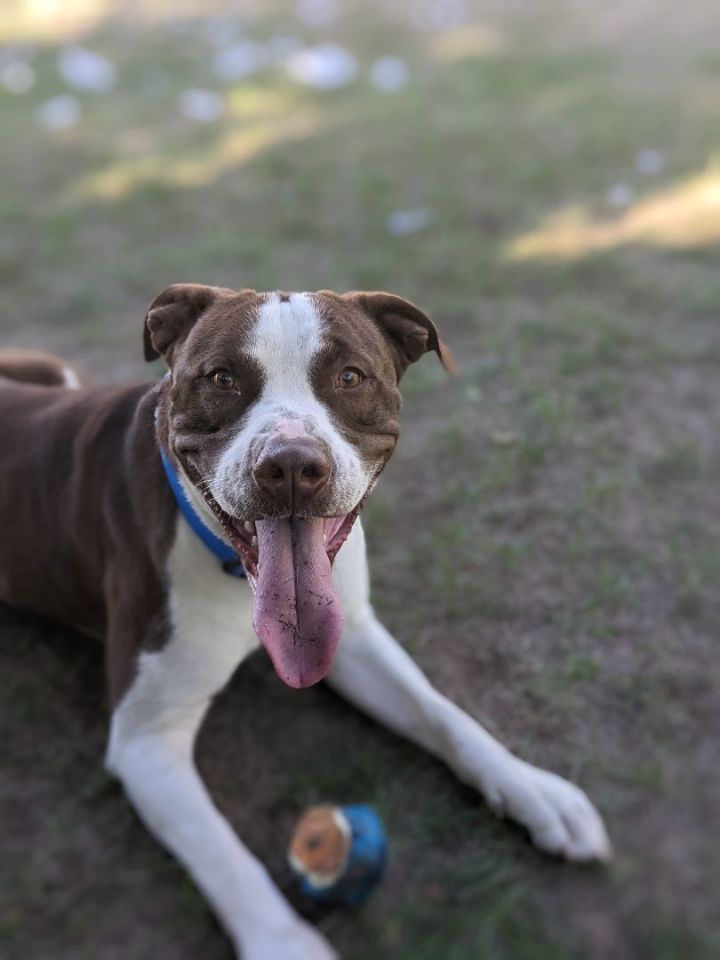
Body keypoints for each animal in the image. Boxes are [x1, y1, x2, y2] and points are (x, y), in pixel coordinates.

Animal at [0, 286, 612, 960]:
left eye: (350, 377)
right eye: (222, 378)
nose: (291, 465)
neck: (233, 571)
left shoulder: (356, 638)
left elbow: (443, 715)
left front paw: (534, 789)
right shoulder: (146, 739)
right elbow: (223, 852)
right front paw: (285, 942)